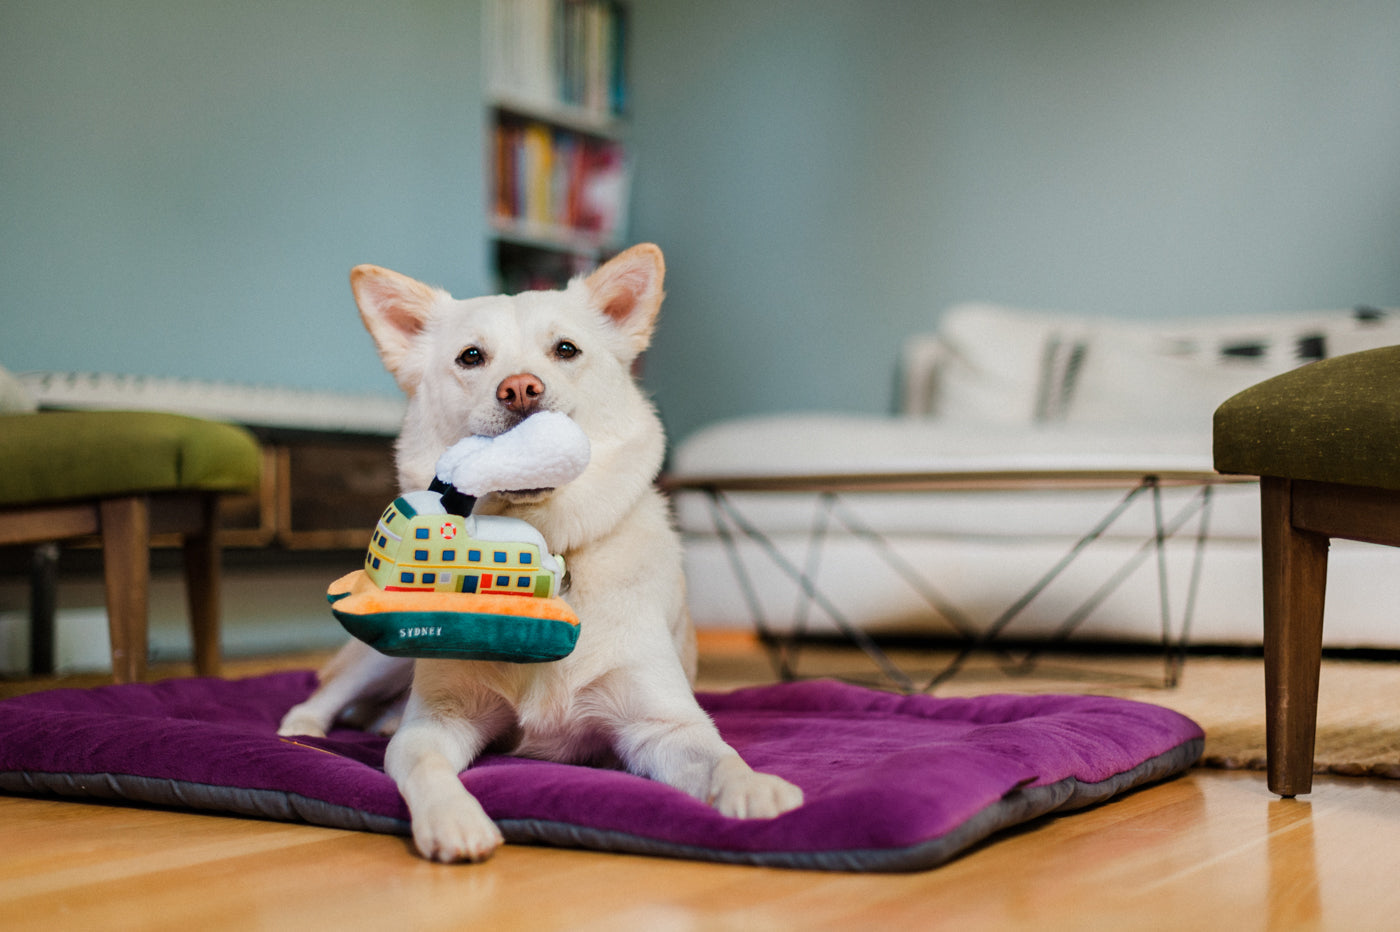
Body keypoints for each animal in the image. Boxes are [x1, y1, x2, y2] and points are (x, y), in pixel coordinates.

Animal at [278, 243, 806, 862]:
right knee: (329, 692)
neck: (548, 547)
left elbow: (720, 755)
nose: (520, 389)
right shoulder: (438, 721)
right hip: (383, 652)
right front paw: (454, 819)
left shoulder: (662, 725)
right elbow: (424, 765)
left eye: (565, 350)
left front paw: (754, 789)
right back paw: (304, 730)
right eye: (472, 356)